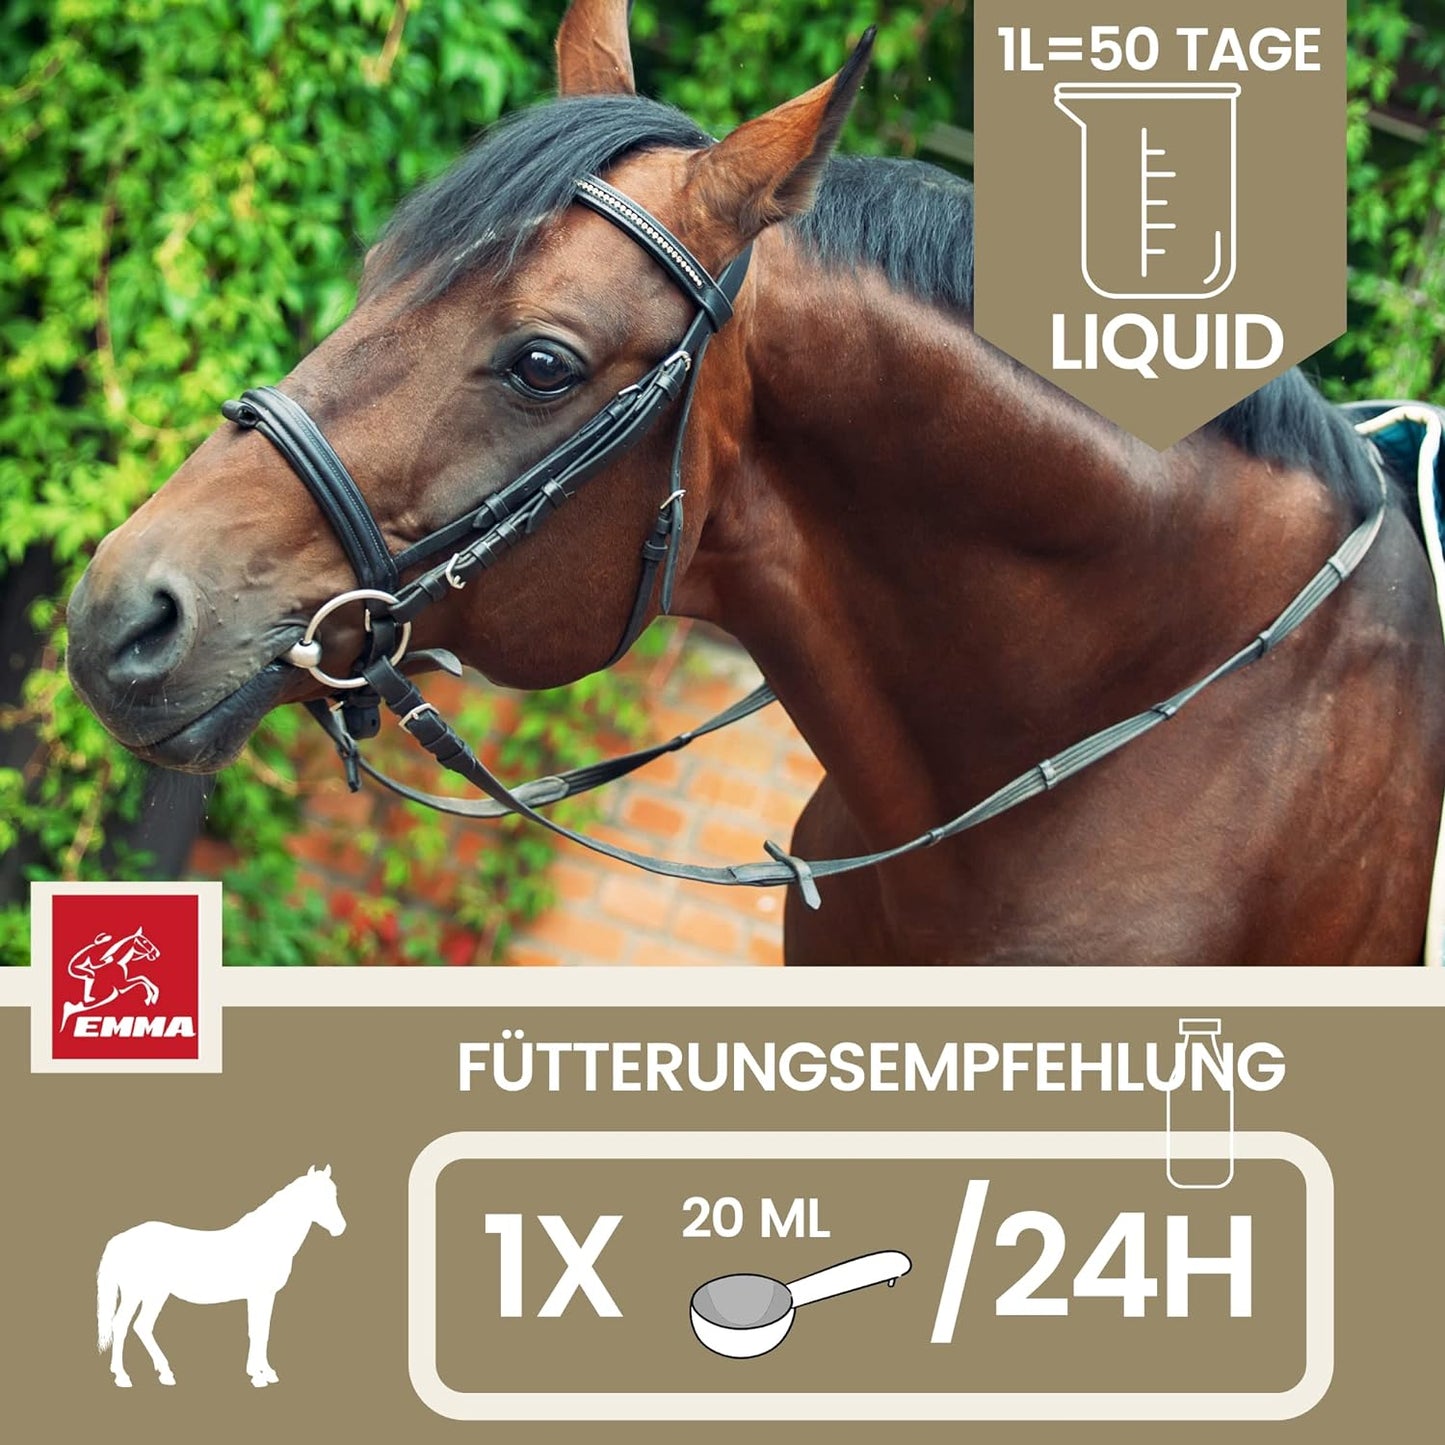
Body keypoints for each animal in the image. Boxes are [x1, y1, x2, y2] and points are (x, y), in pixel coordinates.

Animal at [96, 1164, 346, 1389]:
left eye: (333, 1195)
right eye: (318, 1197)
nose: (340, 1228)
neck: (266, 1240)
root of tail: (120, 1239)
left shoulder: (267, 1296)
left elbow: (263, 1331)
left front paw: (266, 1372)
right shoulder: (258, 1295)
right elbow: (256, 1331)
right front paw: (257, 1376)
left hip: (154, 1294)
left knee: (142, 1326)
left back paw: (165, 1374)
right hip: (137, 1293)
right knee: (122, 1325)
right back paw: (123, 1377)